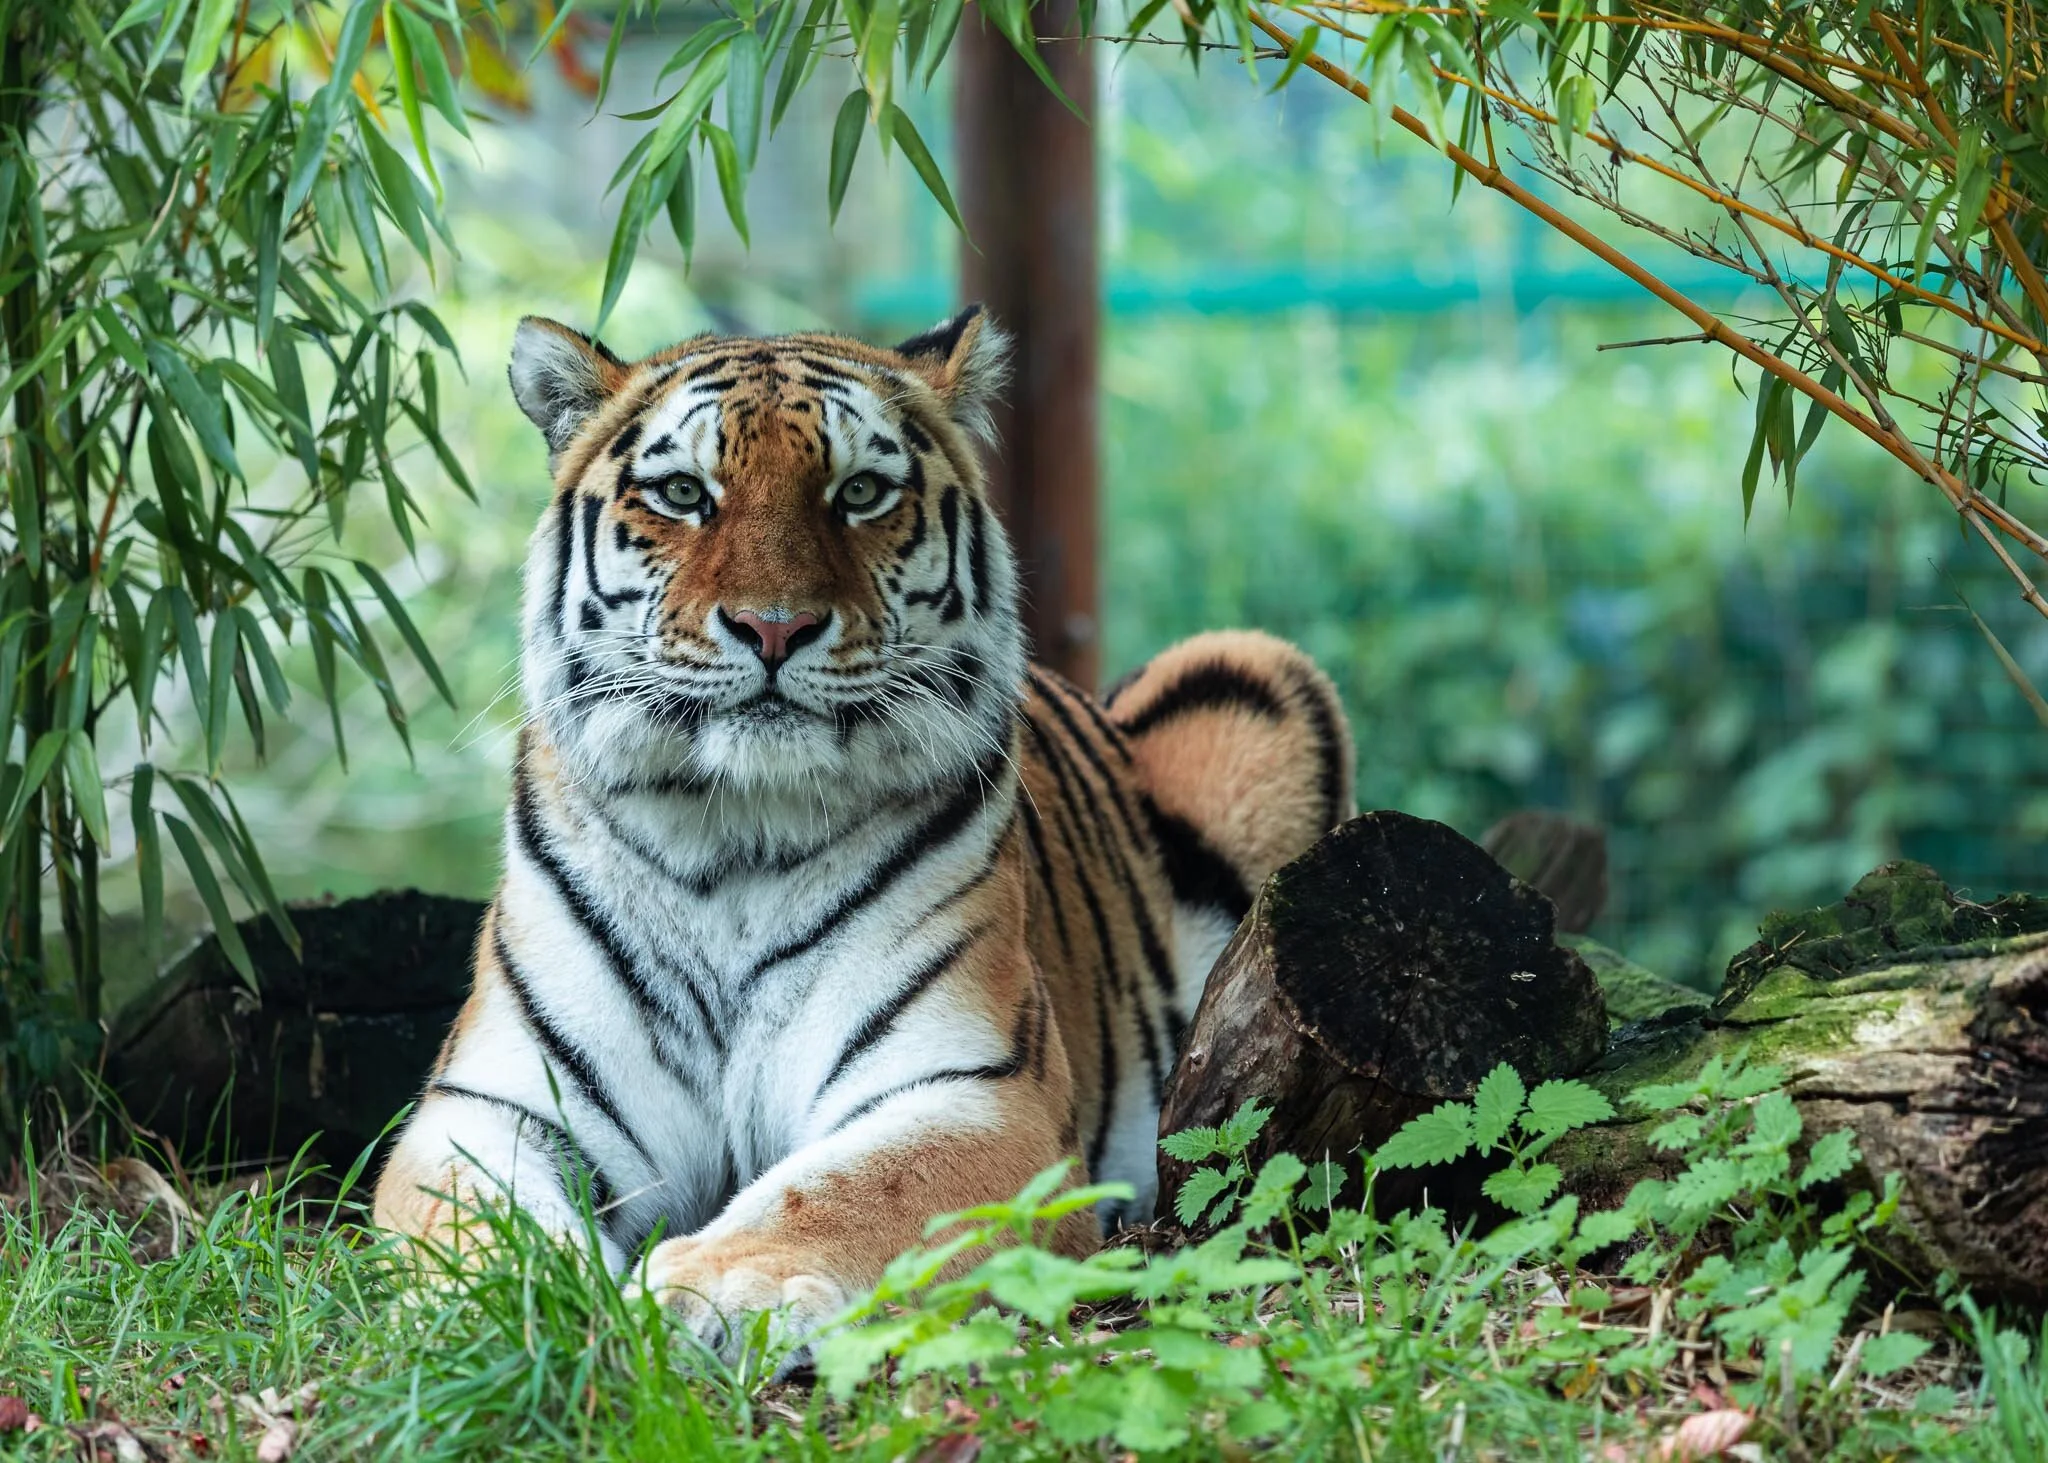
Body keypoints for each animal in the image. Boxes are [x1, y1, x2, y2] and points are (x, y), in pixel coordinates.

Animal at [371, 306, 1354, 1353]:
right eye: (683, 493)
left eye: (861, 492)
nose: (774, 626)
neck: (733, 836)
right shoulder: (492, 1103)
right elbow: (477, 1219)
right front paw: (522, 1298)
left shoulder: (978, 1091)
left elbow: (842, 1190)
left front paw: (709, 1286)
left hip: (1255, 673)